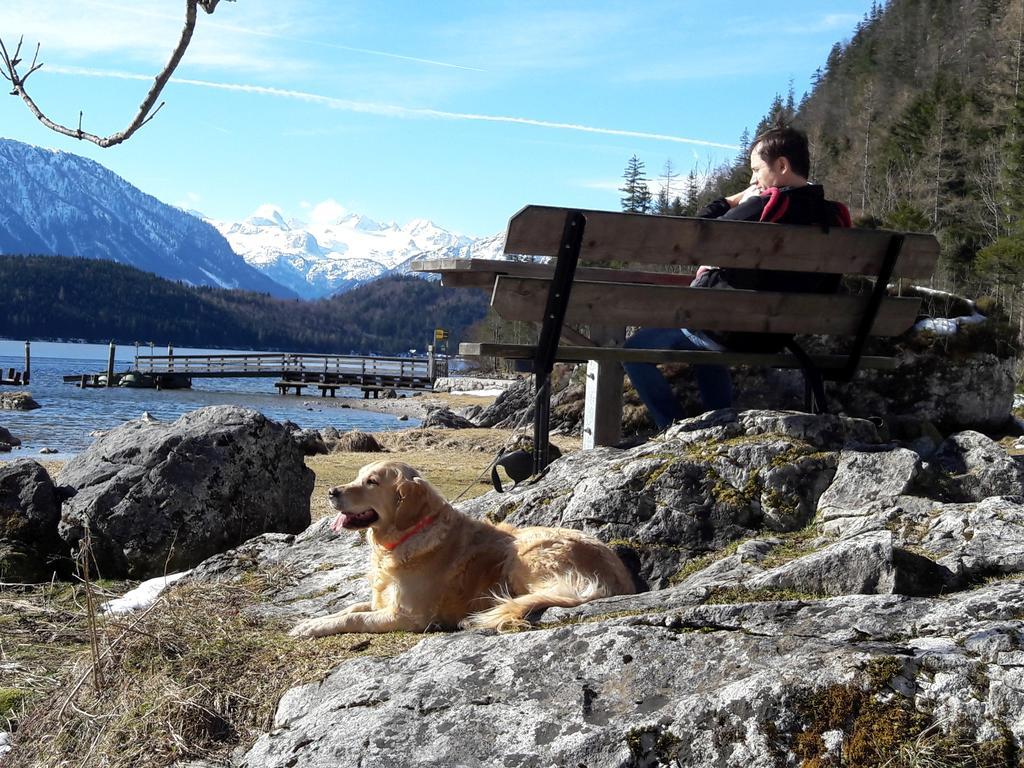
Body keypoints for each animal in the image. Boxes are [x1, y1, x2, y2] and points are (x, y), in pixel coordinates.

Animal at [288, 462, 634, 638]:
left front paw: (312, 627)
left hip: (524, 550)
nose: (332, 492)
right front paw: (312, 620)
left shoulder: (409, 615)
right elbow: (350, 609)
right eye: (359, 476)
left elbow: (354, 619)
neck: (405, 537)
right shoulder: (381, 601)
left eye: (371, 482)